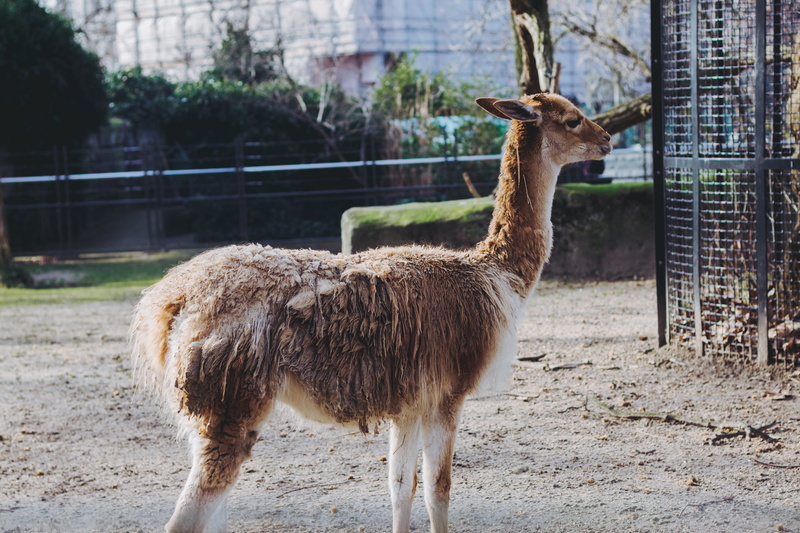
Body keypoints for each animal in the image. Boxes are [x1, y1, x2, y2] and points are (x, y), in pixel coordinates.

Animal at [129, 93, 612, 533]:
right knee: (187, 514)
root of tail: (171, 296)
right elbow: (439, 489)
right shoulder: (447, 394)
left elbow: (401, 487)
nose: (606, 139)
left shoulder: (410, 402)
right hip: (230, 400)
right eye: (573, 119)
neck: (494, 274)